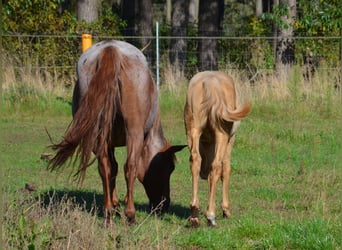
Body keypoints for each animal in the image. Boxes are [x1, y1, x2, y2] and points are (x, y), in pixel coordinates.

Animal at [48, 40, 184, 225]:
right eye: (169, 168)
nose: (164, 205)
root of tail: (110, 49)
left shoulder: (109, 142)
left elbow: (112, 168)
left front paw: (114, 203)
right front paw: (123, 203)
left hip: (98, 134)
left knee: (104, 166)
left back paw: (108, 213)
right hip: (133, 132)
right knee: (130, 166)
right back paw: (130, 214)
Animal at [184, 70, 251, 227]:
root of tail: (210, 83)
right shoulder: (229, 141)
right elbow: (225, 169)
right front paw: (225, 210)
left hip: (193, 130)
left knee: (195, 161)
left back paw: (194, 214)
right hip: (222, 135)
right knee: (216, 166)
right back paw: (211, 216)